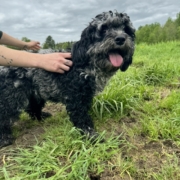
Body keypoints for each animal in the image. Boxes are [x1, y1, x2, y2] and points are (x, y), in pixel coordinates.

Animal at [0, 10, 135, 147]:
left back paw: (40, 117)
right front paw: (91, 135)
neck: (88, 64)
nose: (121, 38)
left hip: (35, 92)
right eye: (104, 29)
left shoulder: (85, 96)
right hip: (12, 96)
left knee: (33, 107)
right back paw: (4, 138)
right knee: (5, 115)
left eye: (126, 29)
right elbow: (81, 118)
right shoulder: (75, 97)